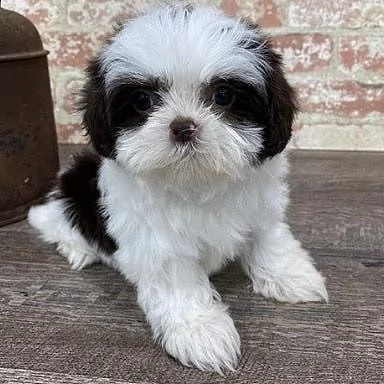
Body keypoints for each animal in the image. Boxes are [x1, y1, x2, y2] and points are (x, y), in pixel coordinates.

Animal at [29, 2, 328, 376]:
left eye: (224, 95)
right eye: (143, 101)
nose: (183, 126)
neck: (196, 181)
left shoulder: (261, 208)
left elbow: (270, 240)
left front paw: (291, 276)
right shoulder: (159, 242)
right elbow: (179, 283)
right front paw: (201, 332)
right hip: (73, 197)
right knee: (54, 221)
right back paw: (79, 250)